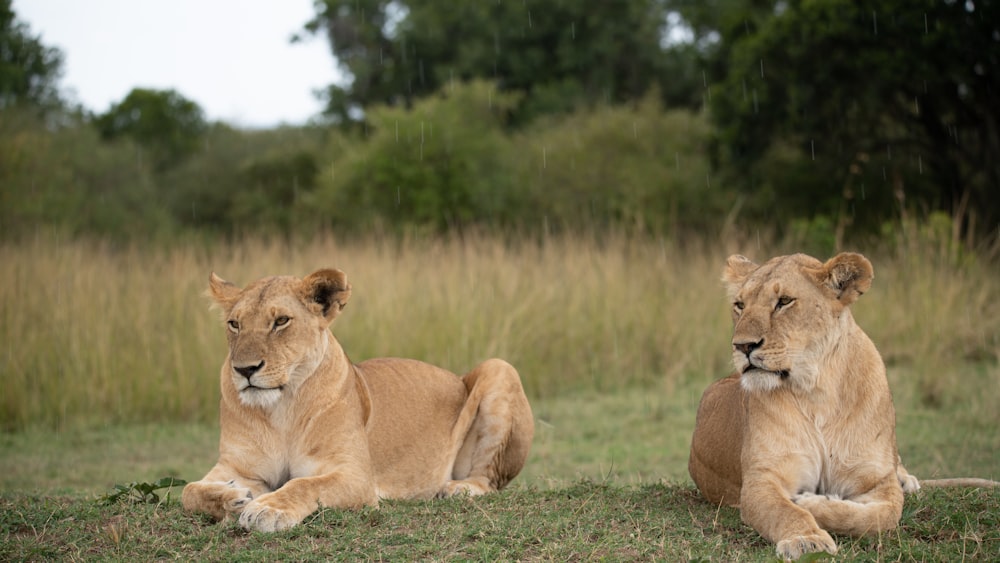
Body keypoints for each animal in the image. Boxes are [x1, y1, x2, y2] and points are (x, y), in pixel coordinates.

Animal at [183, 268, 536, 532]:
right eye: (234, 324)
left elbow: (303, 485)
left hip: (499, 368)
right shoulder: (236, 465)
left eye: (281, 321)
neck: (281, 408)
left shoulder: (356, 476)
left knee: (490, 480)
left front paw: (267, 509)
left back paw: (458, 488)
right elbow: (189, 492)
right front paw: (233, 497)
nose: (245, 369)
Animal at [692, 253, 996, 560]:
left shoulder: (876, 480)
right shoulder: (761, 481)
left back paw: (907, 480)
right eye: (740, 305)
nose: (742, 346)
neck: (817, 391)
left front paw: (810, 501)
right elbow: (784, 511)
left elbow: (876, 517)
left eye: (784, 301)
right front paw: (805, 539)